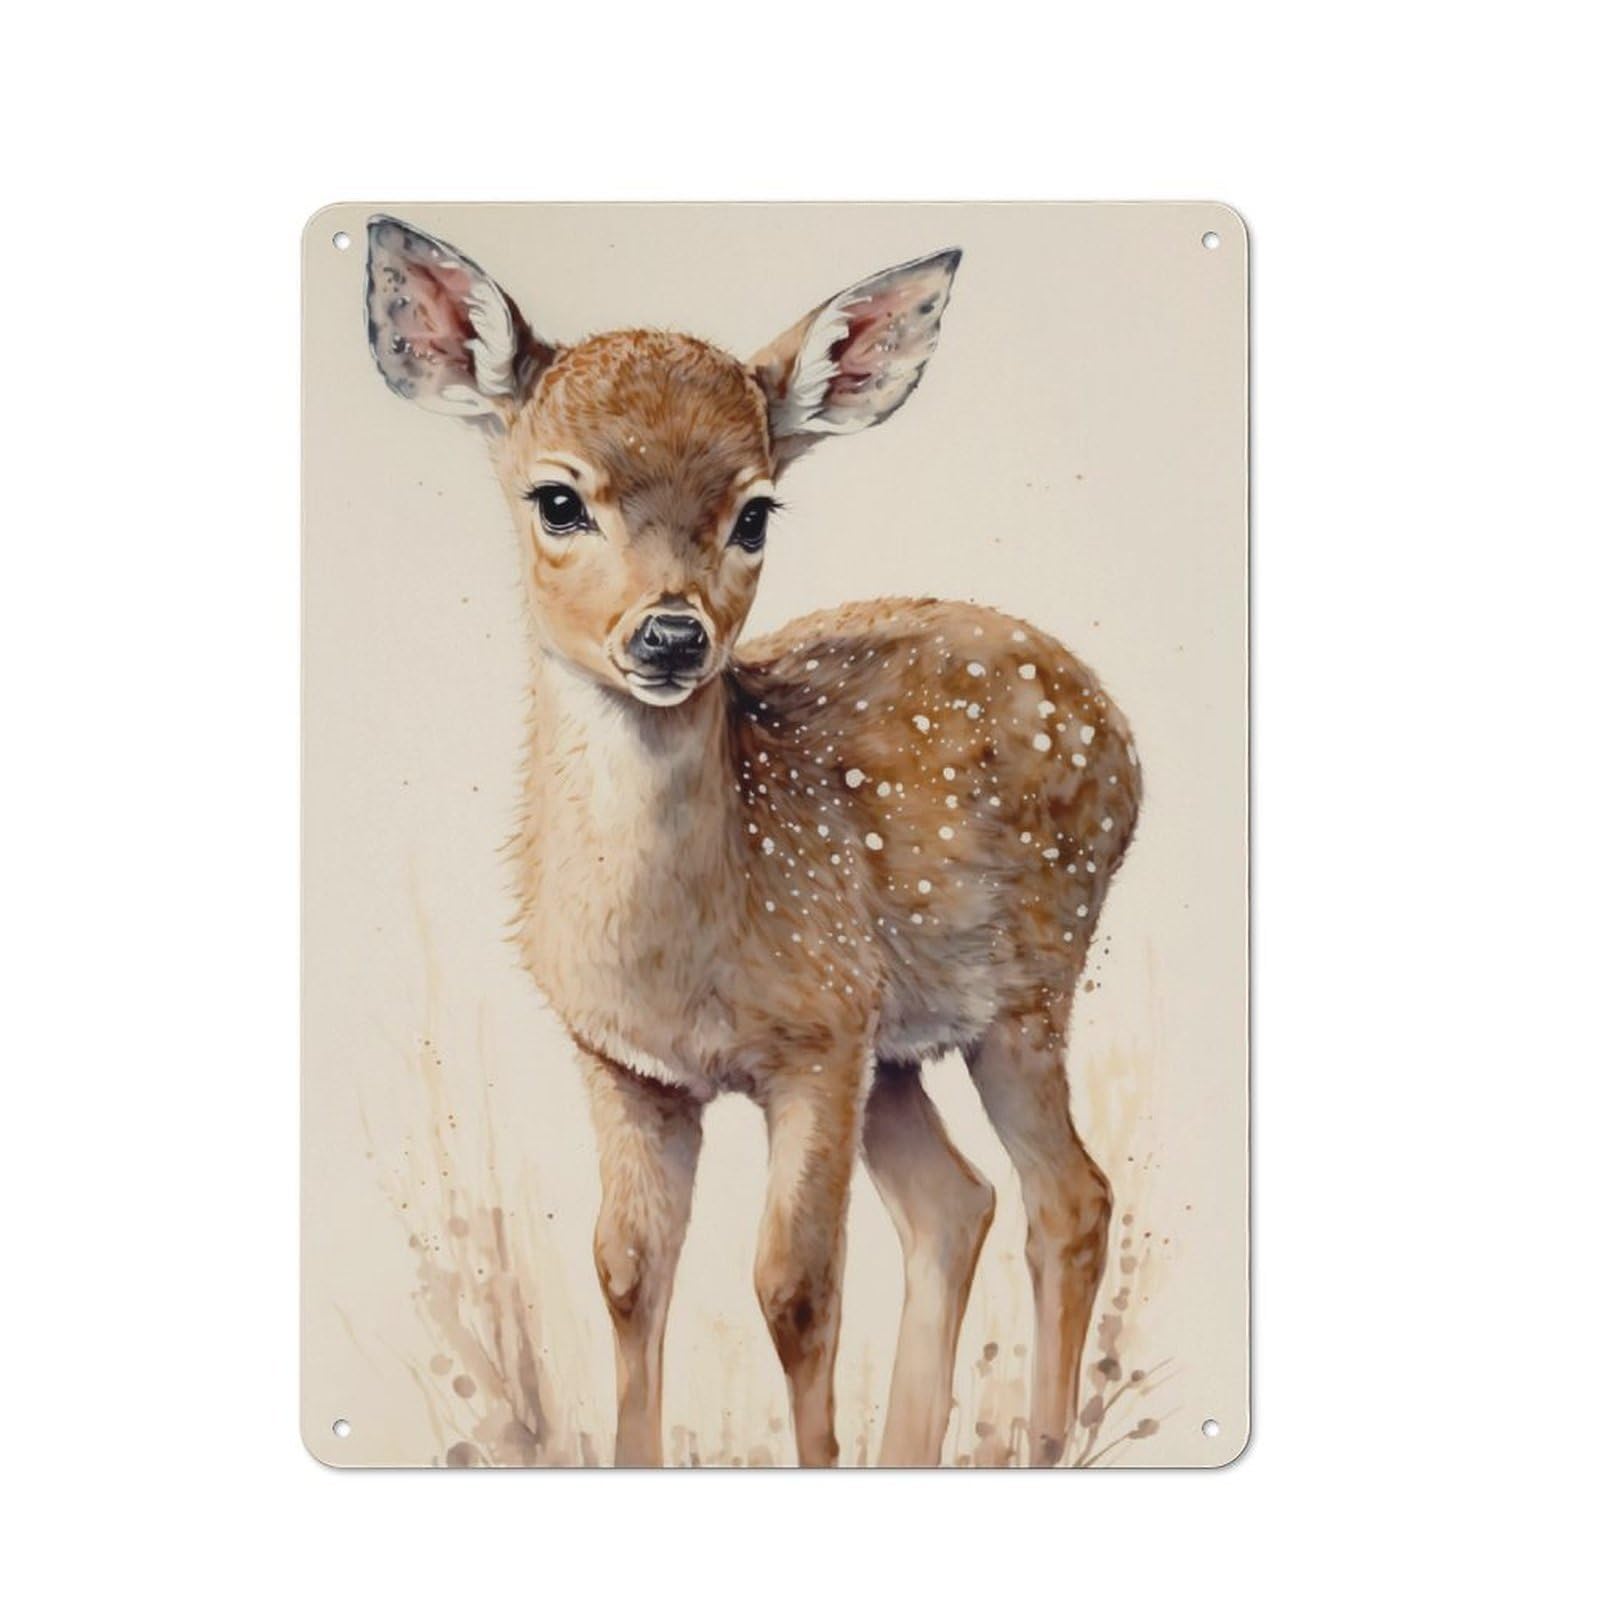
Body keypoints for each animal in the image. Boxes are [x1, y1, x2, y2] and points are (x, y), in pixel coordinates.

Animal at [363, 216, 1141, 1468]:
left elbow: (795, 1288)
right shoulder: (622, 1062)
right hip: (902, 1041)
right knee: (954, 1203)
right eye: (557, 499)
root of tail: (1115, 724)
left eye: (756, 512)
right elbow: (627, 1272)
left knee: (1068, 1196)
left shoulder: (814, 1043)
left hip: (1026, 984)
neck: (679, 953)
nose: (672, 635)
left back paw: (1046, 1443)